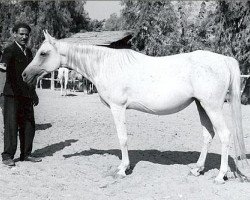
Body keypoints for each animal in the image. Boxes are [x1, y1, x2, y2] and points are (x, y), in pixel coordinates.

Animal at [22, 30, 248, 183]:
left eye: (43, 53)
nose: (24, 75)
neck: (105, 65)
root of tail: (224, 60)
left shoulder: (118, 108)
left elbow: (122, 138)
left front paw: (122, 169)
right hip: (202, 106)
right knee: (208, 135)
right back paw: (197, 169)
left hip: (212, 107)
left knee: (225, 135)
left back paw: (220, 176)